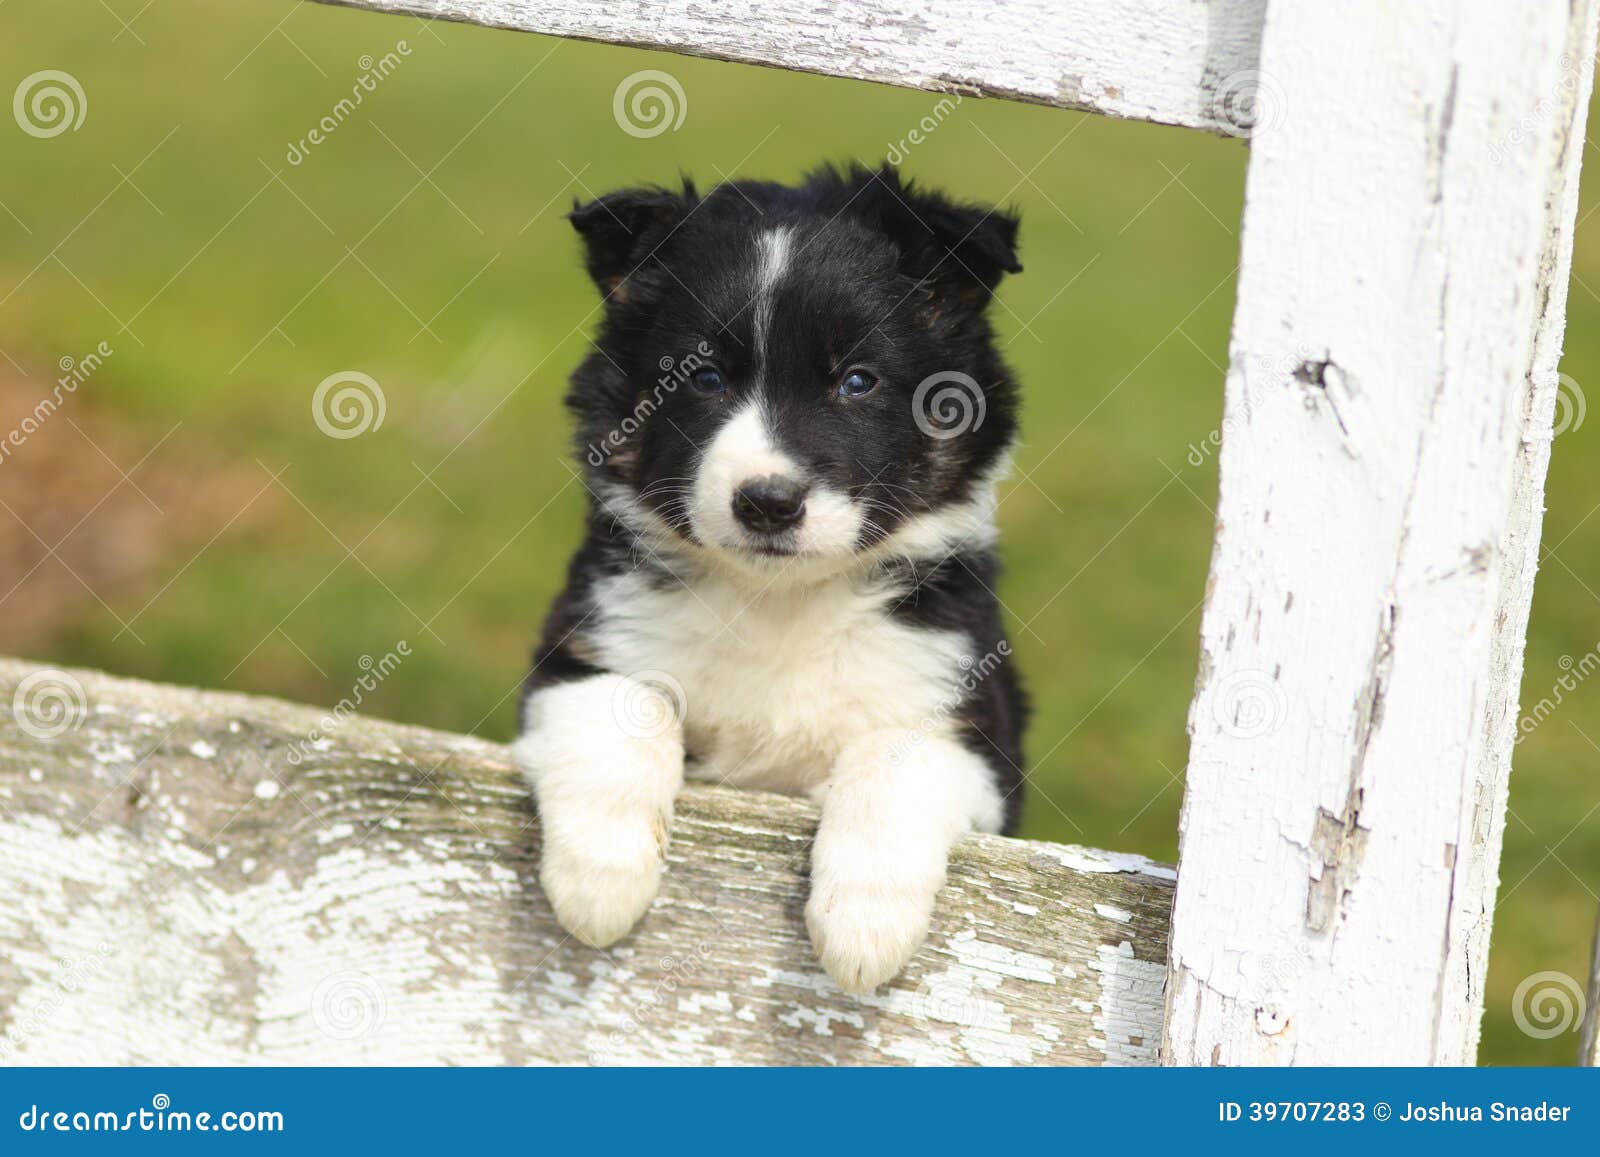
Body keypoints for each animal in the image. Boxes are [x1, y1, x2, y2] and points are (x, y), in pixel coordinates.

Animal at [518, 164, 1030, 998]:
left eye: (858, 380)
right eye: (704, 377)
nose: (767, 502)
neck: (777, 601)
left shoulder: (970, 728)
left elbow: (892, 760)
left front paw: (863, 929)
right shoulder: (583, 645)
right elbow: (621, 712)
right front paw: (601, 884)